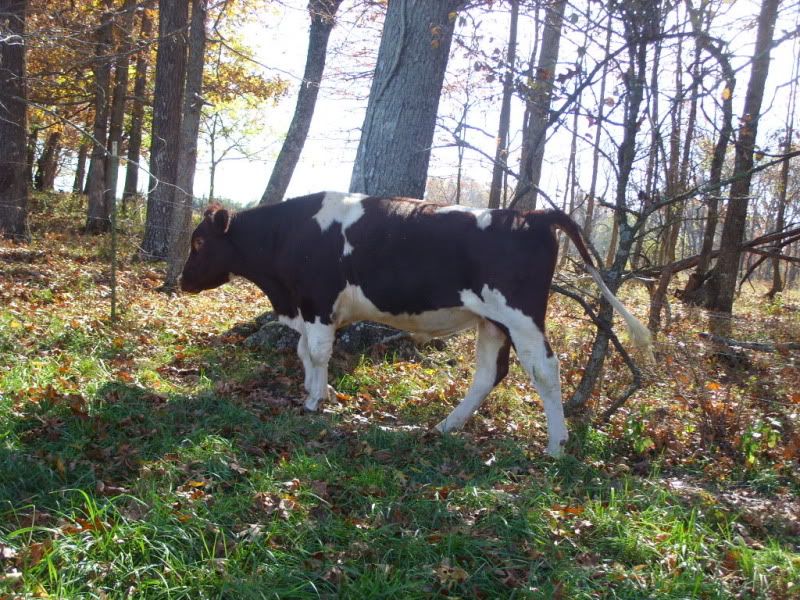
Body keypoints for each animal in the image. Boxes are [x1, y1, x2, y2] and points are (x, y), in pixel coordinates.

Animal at [180, 192, 652, 456]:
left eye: (199, 241)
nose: (182, 280)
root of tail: (528, 215)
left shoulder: (317, 301)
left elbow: (315, 351)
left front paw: (314, 401)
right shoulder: (309, 306)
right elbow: (305, 352)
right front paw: (316, 392)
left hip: (523, 316)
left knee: (544, 370)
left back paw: (555, 445)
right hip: (492, 321)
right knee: (488, 373)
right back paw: (446, 426)